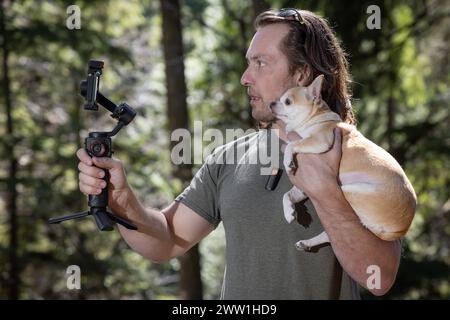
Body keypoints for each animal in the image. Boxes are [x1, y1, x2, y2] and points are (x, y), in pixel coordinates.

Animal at [268, 75, 416, 252]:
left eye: (287, 101)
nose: (271, 103)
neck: (312, 120)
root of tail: (401, 229)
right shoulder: (304, 188)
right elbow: (287, 195)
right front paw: (289, 211)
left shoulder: (320, 141)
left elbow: (292, 145)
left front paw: (288, 160)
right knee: (329, 235)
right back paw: (307, 243)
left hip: (347, 191)